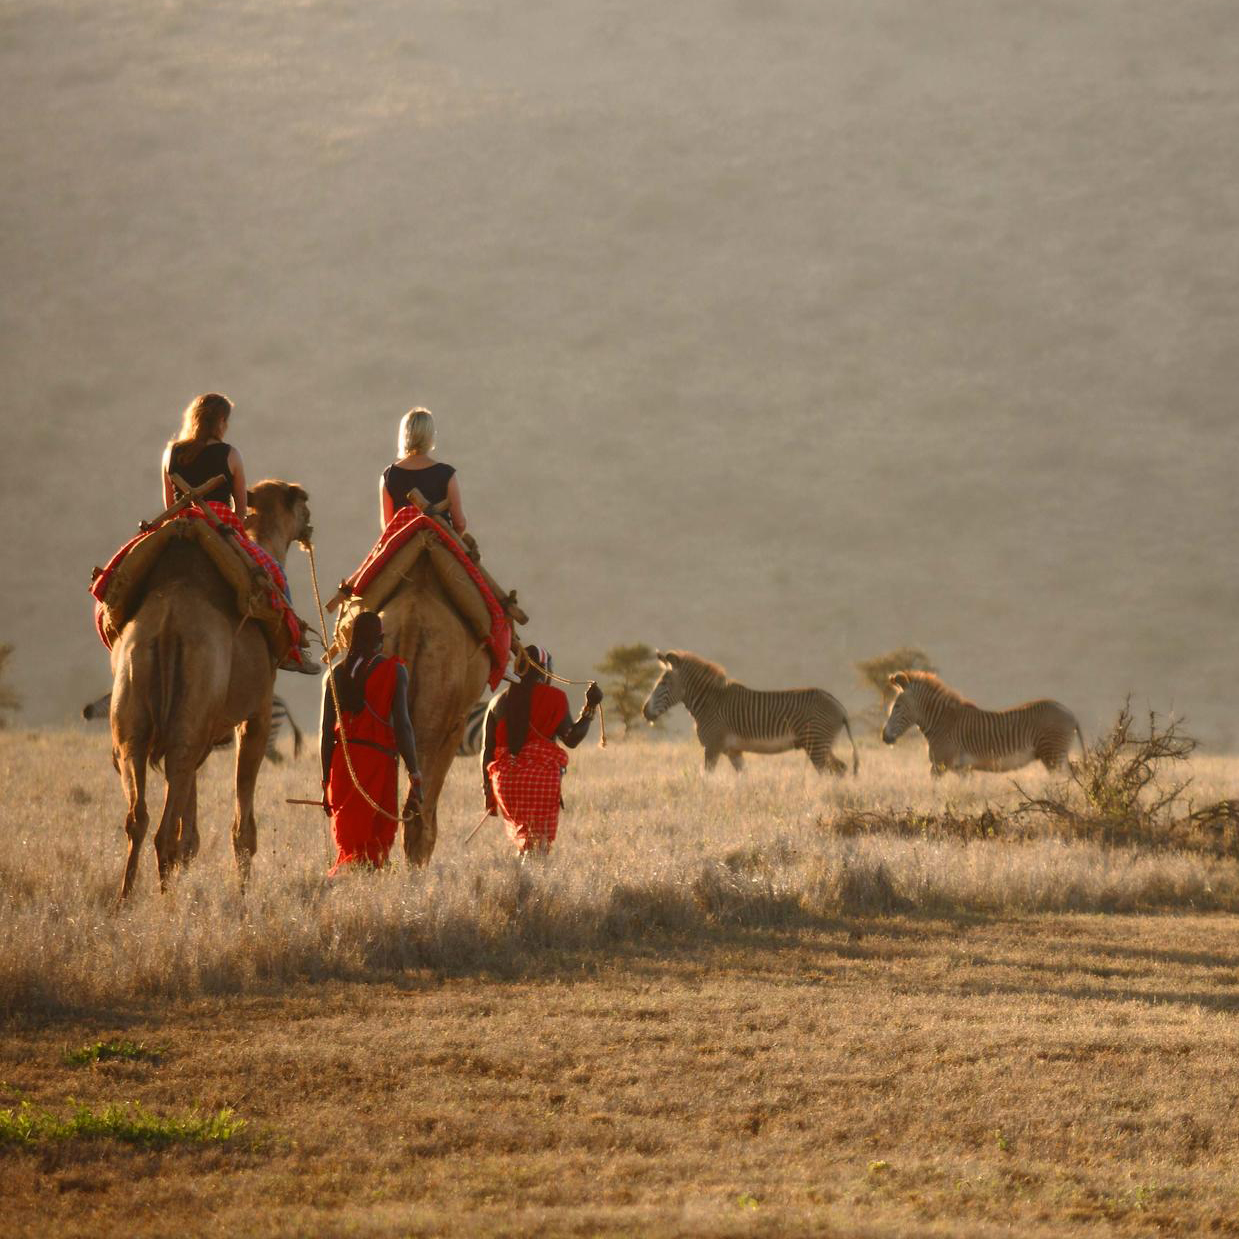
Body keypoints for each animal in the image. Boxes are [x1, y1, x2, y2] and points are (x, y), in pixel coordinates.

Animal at [110, 480, 312, 901]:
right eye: (303, 502)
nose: (309, 524)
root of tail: (168, 625)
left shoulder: (202, 732)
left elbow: (191, 824)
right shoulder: (257, 712)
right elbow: (243, 824)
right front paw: (243, 891)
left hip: (137, 710)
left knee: (140, 812)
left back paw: (125, 899)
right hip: (196, 703)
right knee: (163, 829)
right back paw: (166, 903)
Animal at [644, 649, 857, 773]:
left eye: (663, 683)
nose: (644, 712)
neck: (709, 703)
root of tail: (839, 706)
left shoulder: (712, 746)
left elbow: (706, 777)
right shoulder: (733, 751)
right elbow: (744, 779)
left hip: (816, 744)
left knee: (832, 771)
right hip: (823, 744)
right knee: (841, 768)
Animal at [882, 669, 1085, 773]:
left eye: (897, 706)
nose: (884, 737)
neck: (942, 723)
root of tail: (1070, 712)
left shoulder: (940, 764)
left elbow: (934, 792)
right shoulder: (962, 769)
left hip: (1052, 755)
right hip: (1059, 755)